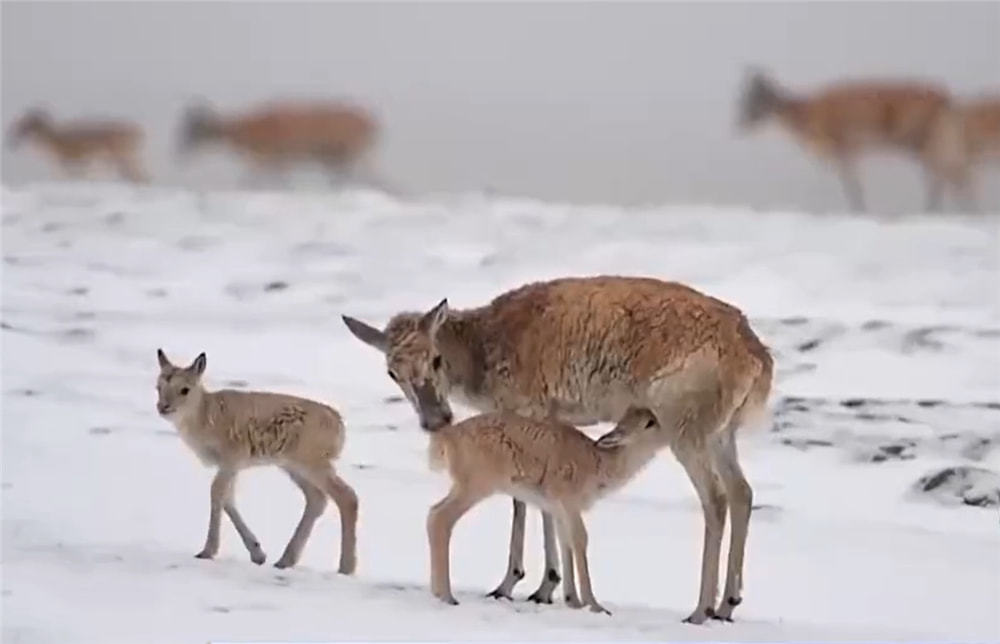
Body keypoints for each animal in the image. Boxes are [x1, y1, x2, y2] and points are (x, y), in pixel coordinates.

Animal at [154, 350, 358, 572]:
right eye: (158, 387)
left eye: (185, 389)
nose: (163, 407)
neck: (206, 412)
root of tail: (339, 423)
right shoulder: (231, 467)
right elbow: (228, 499)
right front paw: (258, 554)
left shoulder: (231, 460)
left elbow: (217, 492)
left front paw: (208, 551)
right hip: (293, 466)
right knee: (317, 499)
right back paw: (285, 560)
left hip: (313, 464)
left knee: (348, 498)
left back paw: (346, 567)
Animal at [178, 99, 380, 187]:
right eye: (186, 129)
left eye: (193, 130)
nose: (180, 152)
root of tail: (373, 123)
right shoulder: (273, 159)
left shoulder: (273, 156)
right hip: (340, 154)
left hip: (348, 151)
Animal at [344, 276, 772, 624]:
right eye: (391, 371)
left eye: (435, 358)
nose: (435, 419)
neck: (481, 358)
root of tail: (760, 361)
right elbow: (548, 505)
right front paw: (557, 588)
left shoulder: (528, 407)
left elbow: (523, 503)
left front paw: (519, 583)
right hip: (721, 432)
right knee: (742, 492)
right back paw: (728, 603)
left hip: (685, 425)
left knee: (715, 499)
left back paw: (700, 609)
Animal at [740, 70, 964, 211]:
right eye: (743, 98)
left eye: (754, 99)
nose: (740, 124)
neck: (806, 115)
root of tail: (946, 98)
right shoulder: (847, 152)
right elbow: (852, 185)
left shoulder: (843, 147)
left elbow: (851, 187)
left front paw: (858, 211)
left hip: (918, 138)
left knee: (946, 171)